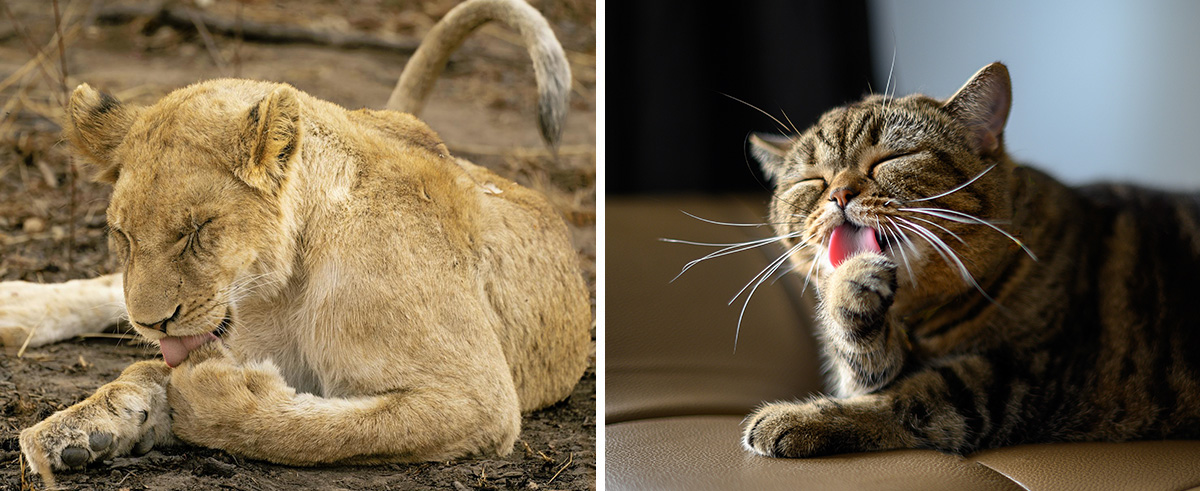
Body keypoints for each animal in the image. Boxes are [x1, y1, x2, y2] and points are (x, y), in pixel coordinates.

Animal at [734, 63, 1200, 456]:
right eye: (811, 180)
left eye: (893, 159)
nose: (839, 195)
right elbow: (864, 363)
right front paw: (847, 288)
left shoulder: (1019, 381)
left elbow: (907, 400)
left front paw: (790, 419)